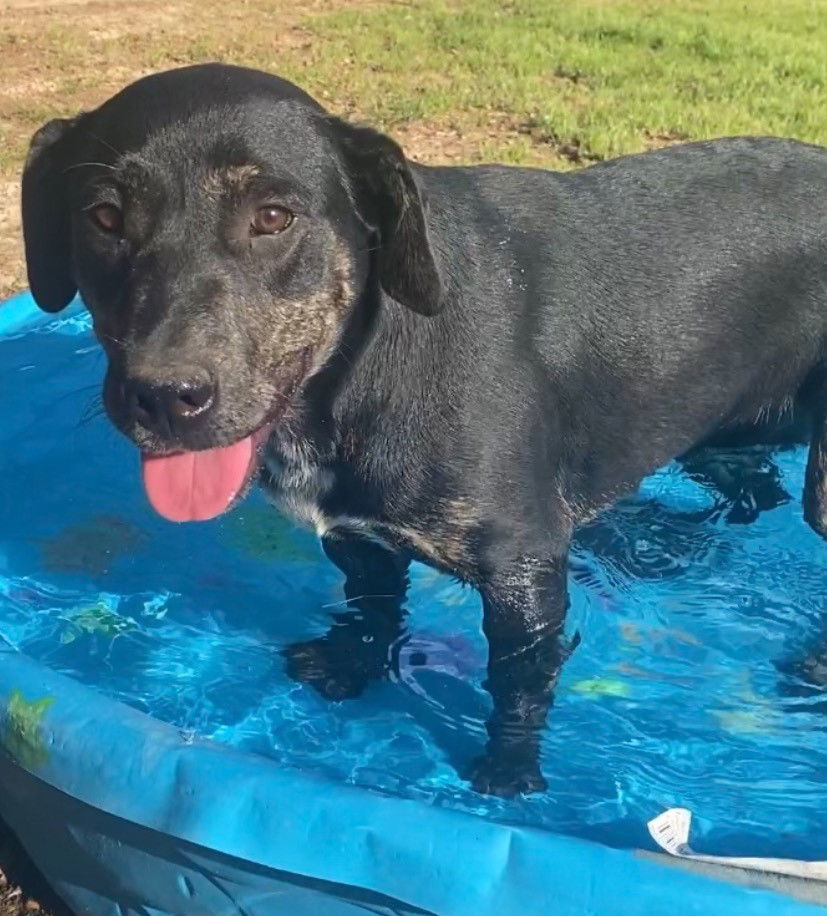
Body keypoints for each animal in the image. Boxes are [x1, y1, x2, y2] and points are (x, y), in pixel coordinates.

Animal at [21, 64, 827, 796]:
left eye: (274, 217)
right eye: (103, 217)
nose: (163, 397)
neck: (358, 371)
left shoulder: (523, 574)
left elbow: (517, 684)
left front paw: (509, 773)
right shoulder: (355, 535)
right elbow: (373, 606)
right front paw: (354, 664)